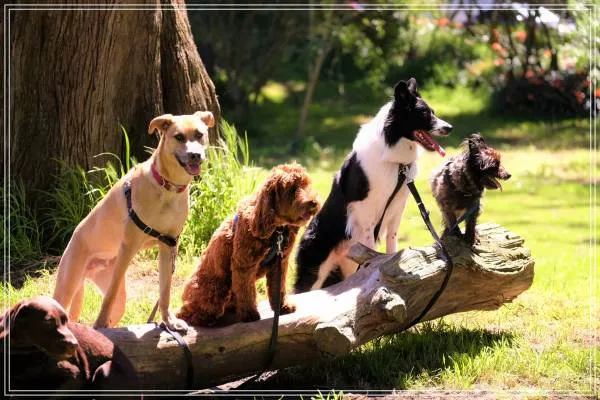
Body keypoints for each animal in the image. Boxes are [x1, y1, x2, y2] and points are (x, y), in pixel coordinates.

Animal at [53, 111, 214, 331]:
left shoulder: (169, 244)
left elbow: (165, 290)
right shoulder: (128, 247)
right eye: (179, 137)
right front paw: (99, 323)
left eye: (199, 134)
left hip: (119, 300)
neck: (167, 188)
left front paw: (169, 321)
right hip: (67, 285)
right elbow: (109, 297)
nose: (195, 155)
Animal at [177, 163, 319, 326]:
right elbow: (246, 292)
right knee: (188, 313)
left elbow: (278, 288)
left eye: (306, 184)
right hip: (216, 290)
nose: (313, 202)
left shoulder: (280, 262)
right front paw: (249, 315)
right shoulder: (244, 264)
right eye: (292, 188)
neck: (276, 230)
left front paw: (282, 307)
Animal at [294, 78, 452, 292]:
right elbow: (370, 245)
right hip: (316, 270)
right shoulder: (364, 210)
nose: (450, 128)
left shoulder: (397, 207)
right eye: (424, 113)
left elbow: (392, 240)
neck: (394, 162)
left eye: (433, 112)